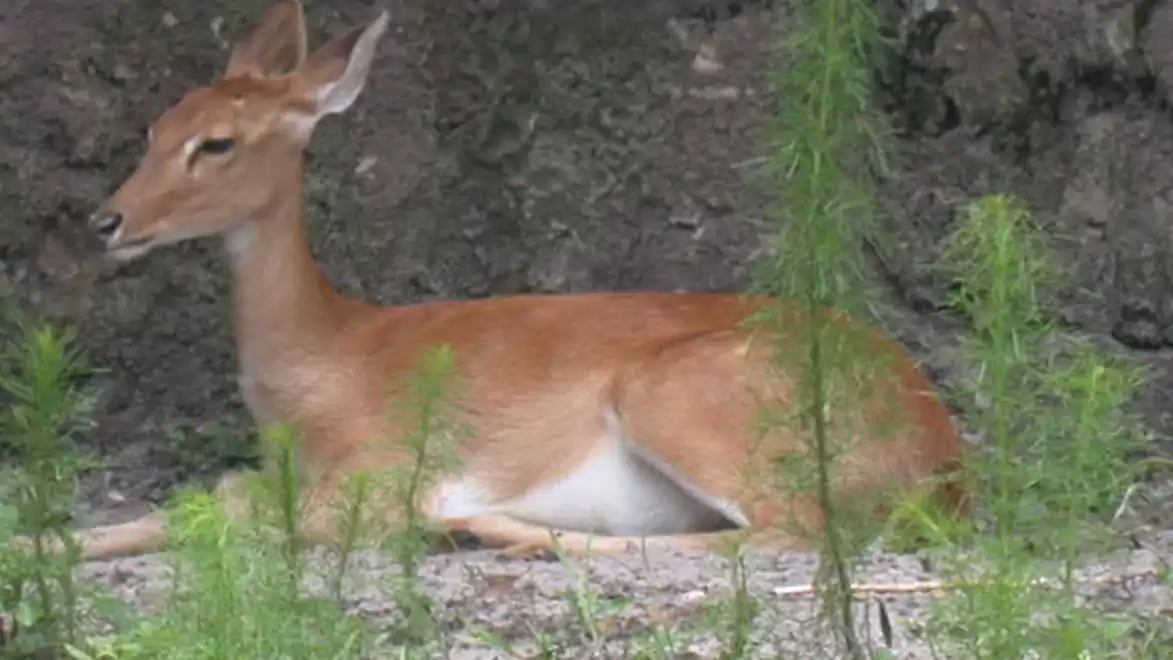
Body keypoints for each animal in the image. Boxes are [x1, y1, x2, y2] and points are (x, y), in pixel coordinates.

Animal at [58, 0, 969, 562]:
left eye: (217, 143)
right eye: (157, 125)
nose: (107, 220)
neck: (320, 367)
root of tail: (941, 461)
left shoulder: (377, 470)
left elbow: (204, 511)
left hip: (682, 392)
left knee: (794, 532)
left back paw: (490, 529)